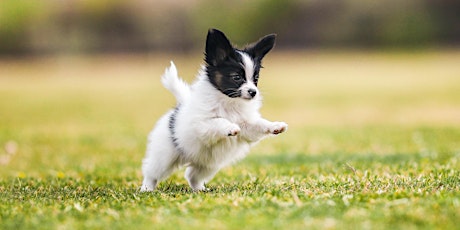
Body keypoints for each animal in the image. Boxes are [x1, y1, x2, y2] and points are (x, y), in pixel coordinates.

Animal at [139, 28, 288, 192]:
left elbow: (260, 124)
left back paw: (199, 190)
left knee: (192, 175)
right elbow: (219, 120)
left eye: (255, 78)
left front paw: (275, 126)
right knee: (151, 172)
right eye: (236, 77)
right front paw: (230, 127)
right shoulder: (202, 125)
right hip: (164, 157)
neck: (229, 102)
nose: (253, 92)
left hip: (208, 165)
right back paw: (146, 188)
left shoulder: (247, 127)